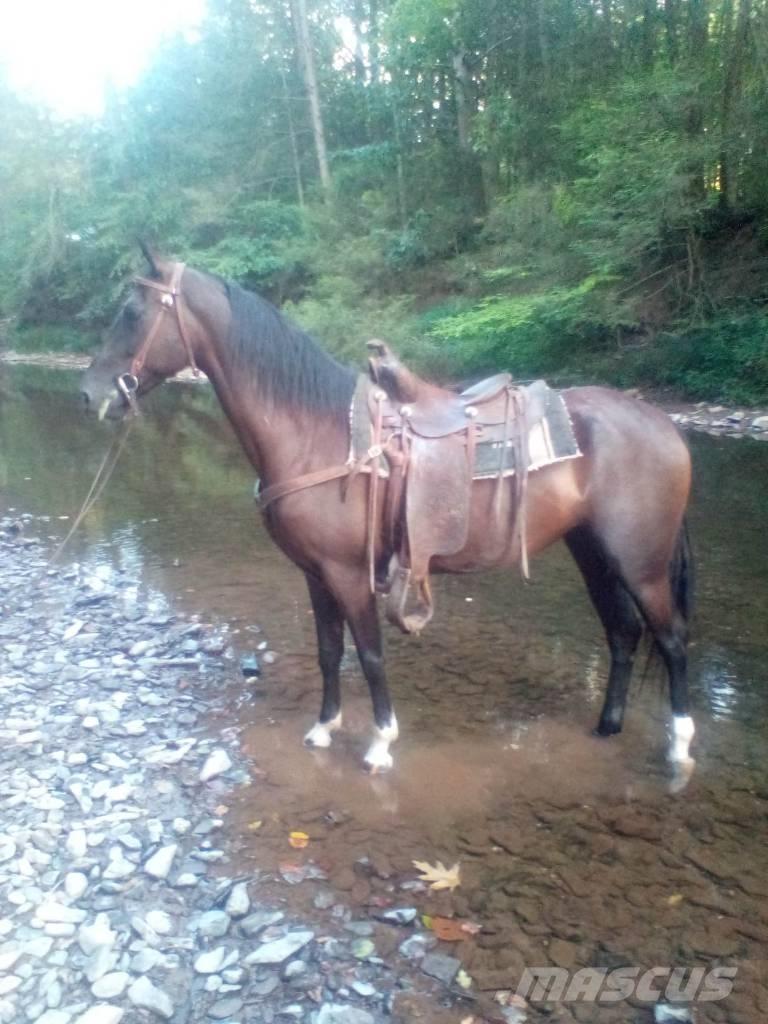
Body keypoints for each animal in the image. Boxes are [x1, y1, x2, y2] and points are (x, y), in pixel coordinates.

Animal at [80, 252, 695, 781]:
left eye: (132, 312)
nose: (90, 394)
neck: (320, 435)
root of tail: (662, 424)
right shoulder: (315, 574)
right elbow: (330, 652)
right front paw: (324, 728)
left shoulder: (349, 574)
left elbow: (371, 654)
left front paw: (379, 743)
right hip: (593, 553)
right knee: (623, 634)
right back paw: (607, 727)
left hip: (640, 564)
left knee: (670, 640)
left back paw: (680, 746)